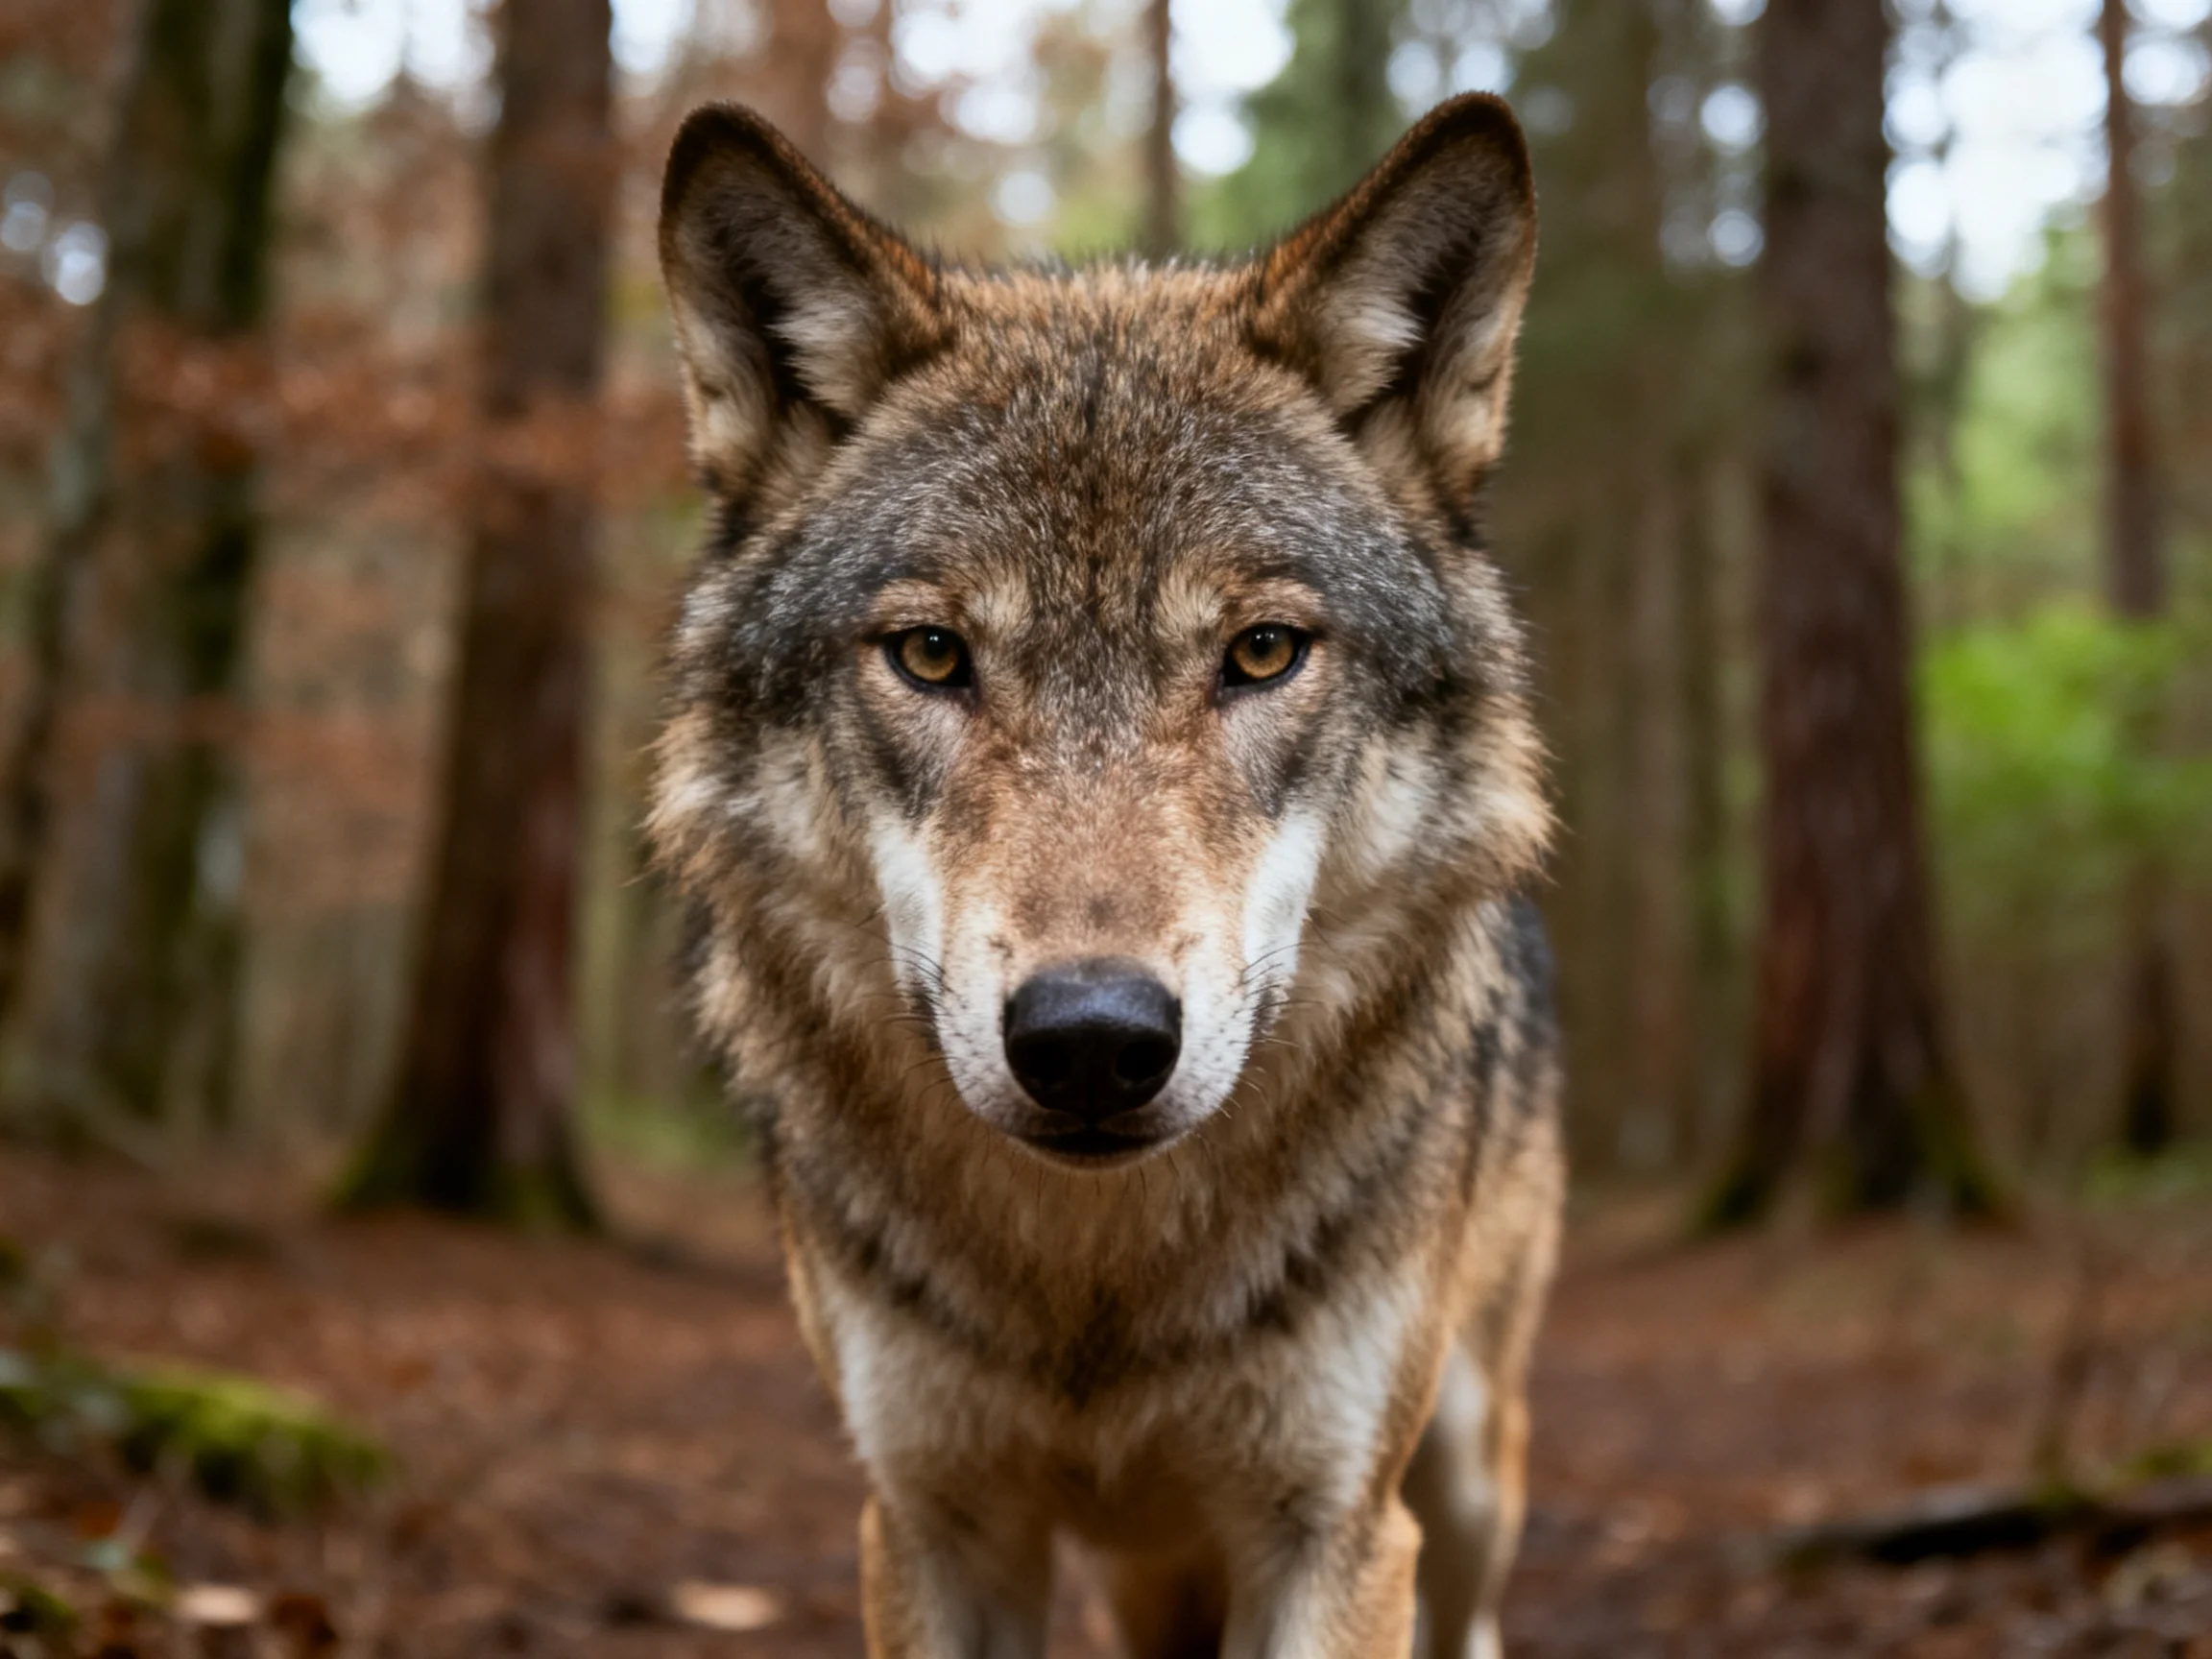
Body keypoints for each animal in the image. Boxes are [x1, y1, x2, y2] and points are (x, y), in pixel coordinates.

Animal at [649, 91, 1562, 1658]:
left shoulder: (1334, 1535)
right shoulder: (934, 1524)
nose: (1089, 1040)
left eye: (1261, 651)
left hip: (1464, 1482)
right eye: (931, 654)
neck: (1098, 1283)